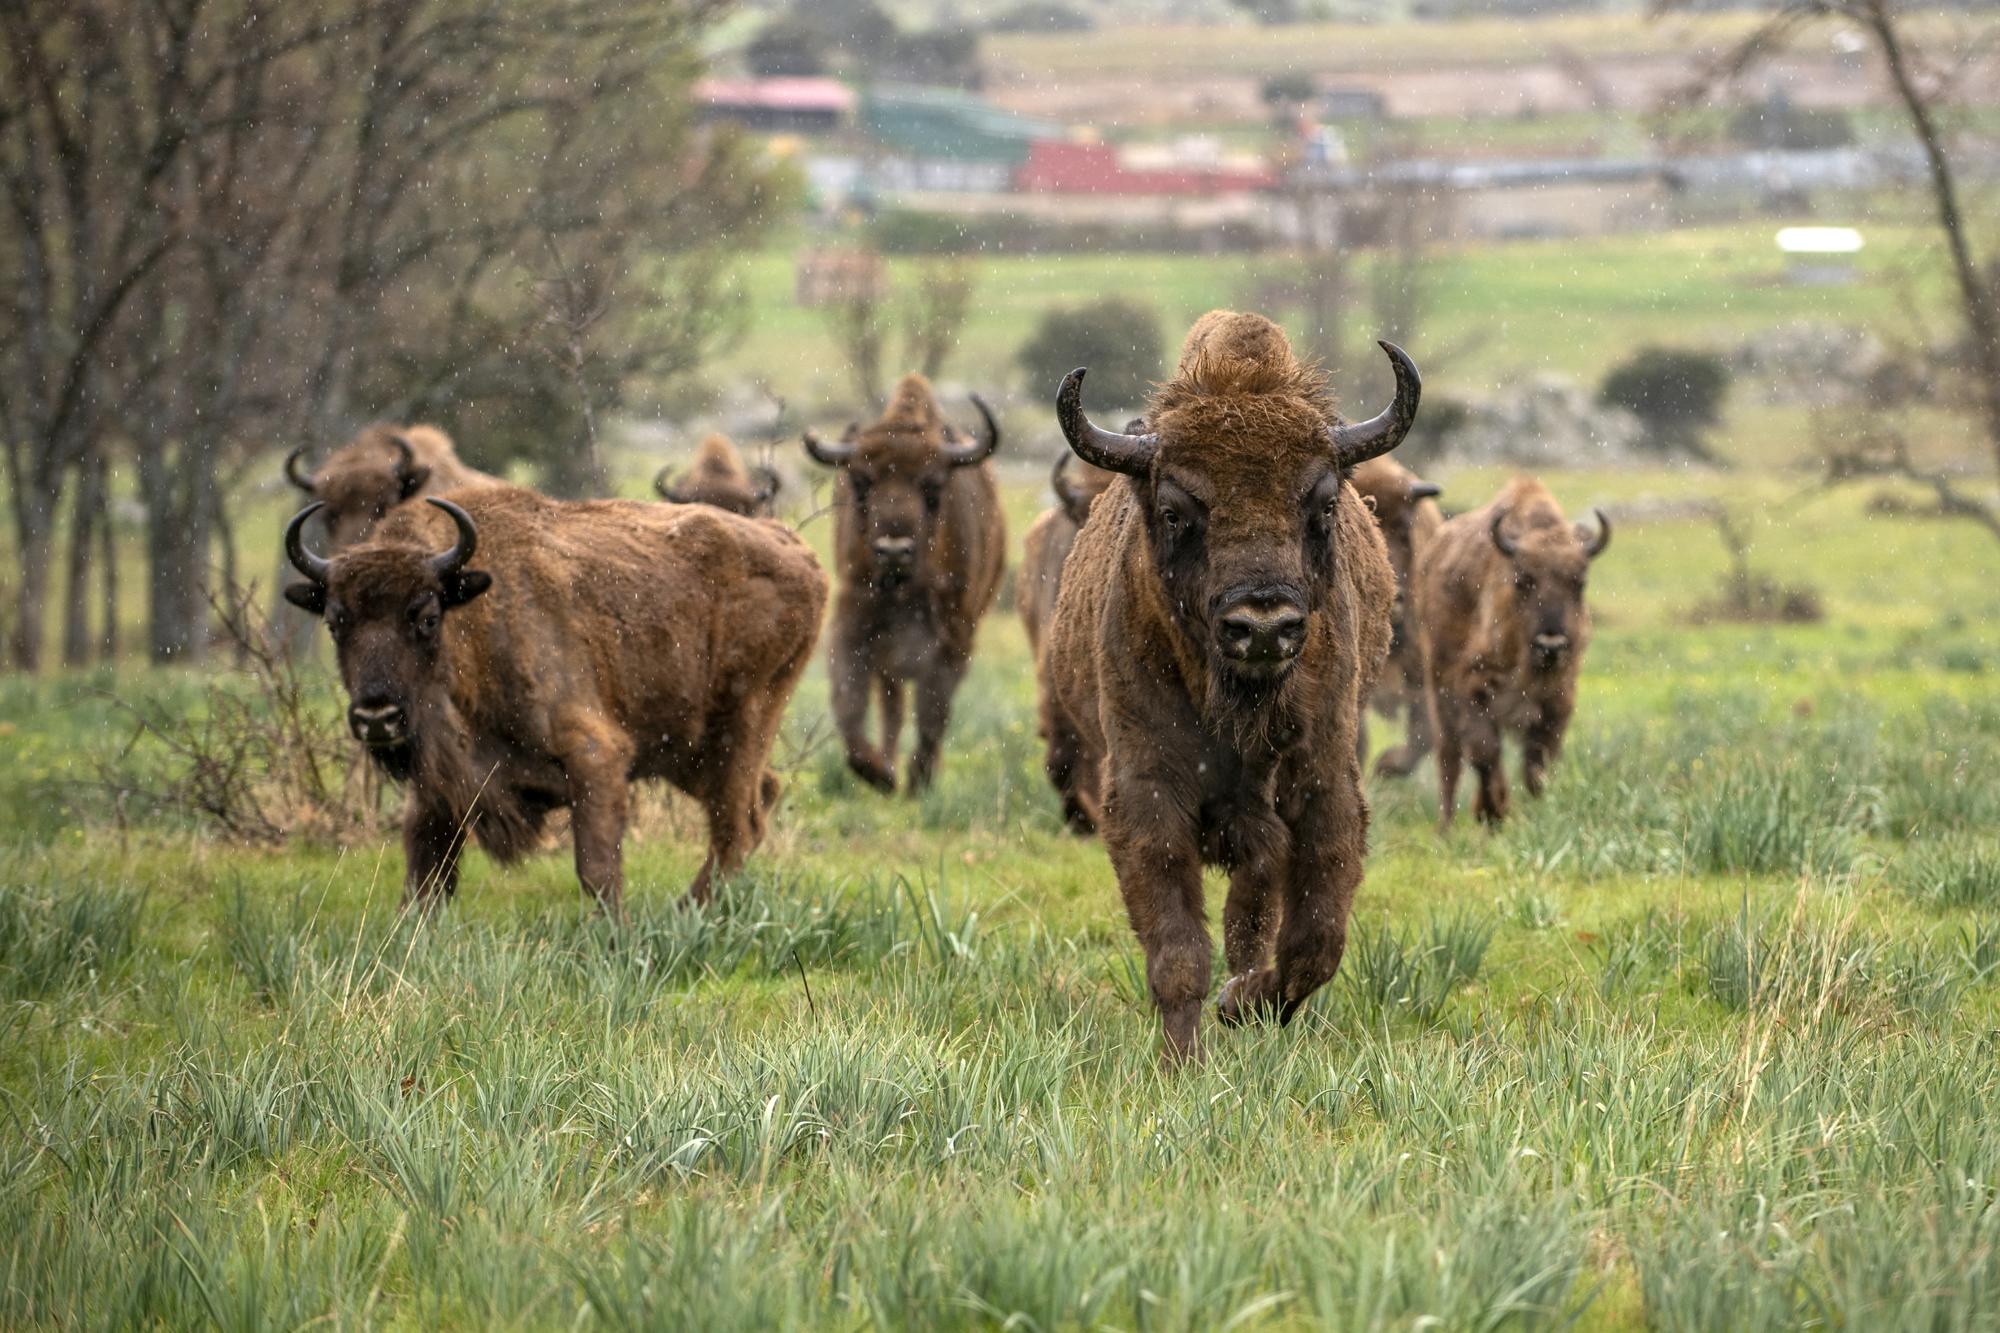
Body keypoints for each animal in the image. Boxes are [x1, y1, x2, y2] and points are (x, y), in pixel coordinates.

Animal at [278, 482, 824, 908]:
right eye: (336, 621)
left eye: (427, 616)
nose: (377, 717)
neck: (473, 621)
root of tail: (800, 551)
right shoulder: (439, 786)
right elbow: (426, 873)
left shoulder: (596, 757)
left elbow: (597, 868)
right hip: (687, 752)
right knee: (760, 798)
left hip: (742, 725)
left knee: (738, 825)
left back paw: (688, 913)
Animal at [804, 368, 1008, 792]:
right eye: (861, 482)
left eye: (932, 485)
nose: (894, 550)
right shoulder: (851, 624)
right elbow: (850, 703)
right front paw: (879, 773)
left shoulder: (953, 640)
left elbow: (933, 711)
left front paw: (917, 780)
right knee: (892, 707)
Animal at [1040, 312, 1416, 1056]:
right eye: (1176, 511)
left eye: (1322, 506)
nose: (1263, 625)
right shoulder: (1147, 793)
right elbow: (1179, 949)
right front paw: (1182, 1059)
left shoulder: (1324, 784)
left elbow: (1313, 941)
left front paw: (1242, 1004)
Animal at [1416, 472, 1616, 824]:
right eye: (1523, 579)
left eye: (1579, 582)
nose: (1551, 644)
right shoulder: (1473, 689)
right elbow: (1484, 753)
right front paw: (1494, 812)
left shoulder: (1557, 703)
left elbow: (1537, 767)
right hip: (1438, 691)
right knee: (1449, 761)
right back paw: (1447, 827)